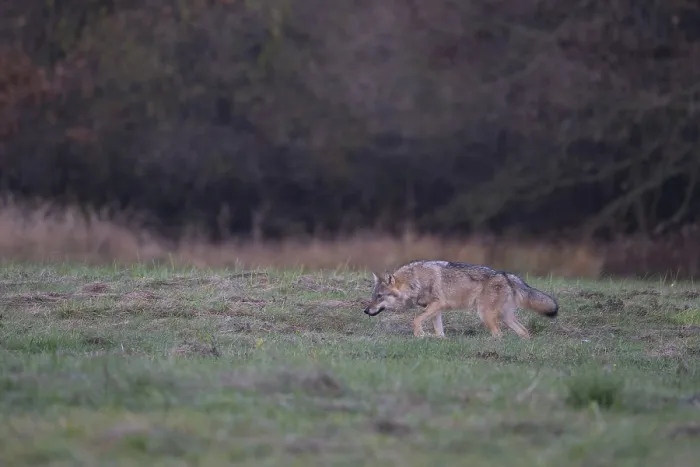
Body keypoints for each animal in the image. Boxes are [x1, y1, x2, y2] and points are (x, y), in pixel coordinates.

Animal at [362, 260, 558, 339]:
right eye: (373, 297)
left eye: (379, 296)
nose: (365, 311)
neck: (415, 281)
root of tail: (506, 275)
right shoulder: (436, 310)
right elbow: (439, 331)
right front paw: (437, 338)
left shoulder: (438, 304)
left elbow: (416, 319)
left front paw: (419, 334)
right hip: (505, 317)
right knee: (524, 332)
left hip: (485, 315)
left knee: (499, 334)